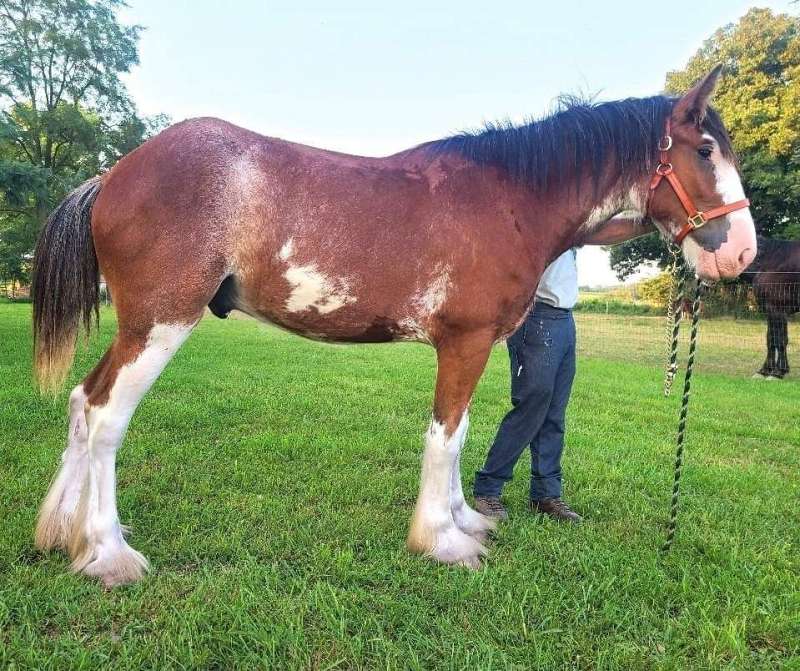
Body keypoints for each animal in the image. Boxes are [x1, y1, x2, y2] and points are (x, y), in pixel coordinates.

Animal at [31, 66, 756, 586]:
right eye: (705, 149)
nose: (742, 254)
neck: (510, 199)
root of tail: (114, 173)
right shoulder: (463, 343)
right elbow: (445, 437)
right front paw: (442, 540)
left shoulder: (476, 348)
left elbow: (462, 434)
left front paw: (467, 520)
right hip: (160, 322)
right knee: (106, 417)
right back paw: (108, 553)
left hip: (138, 328)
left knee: (81, 401)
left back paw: (60, 532)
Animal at [741, 236, 800, 378]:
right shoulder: (769, 311)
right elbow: (770, 339)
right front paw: (766, 369)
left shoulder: (778, 310)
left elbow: (780, 340)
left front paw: (779, 371)